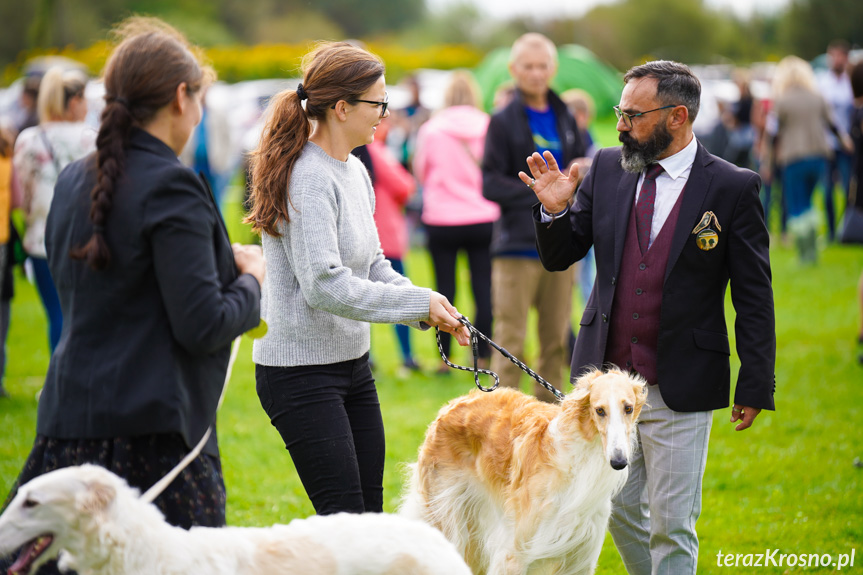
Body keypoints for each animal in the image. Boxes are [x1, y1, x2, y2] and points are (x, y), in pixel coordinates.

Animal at [402, 368, 644, 575]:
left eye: (628, 408)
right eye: (599, 410)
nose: (619, 461)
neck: (577, 462)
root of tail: (451, 405)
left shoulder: (580, 558)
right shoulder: (514, 554)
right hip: (448, 518)